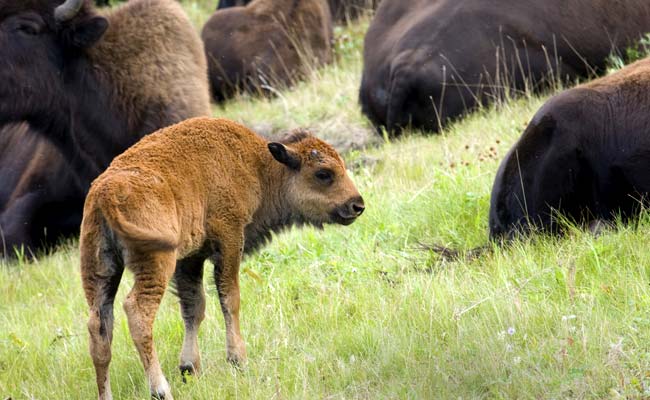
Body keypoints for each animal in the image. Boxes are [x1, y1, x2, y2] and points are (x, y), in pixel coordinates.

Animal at [79, 117, 362, 400]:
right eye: (323, 174)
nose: (357, 205)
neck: (260, 166)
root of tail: (105, 194)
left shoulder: (189, 259)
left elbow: (194, 307)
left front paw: (189, 368)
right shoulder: (229, 237)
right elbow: (230, 298)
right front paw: (238, 359)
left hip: (100, 270)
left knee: (99, 326)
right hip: (156, 263)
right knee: (138, 312)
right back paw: (161, 389)